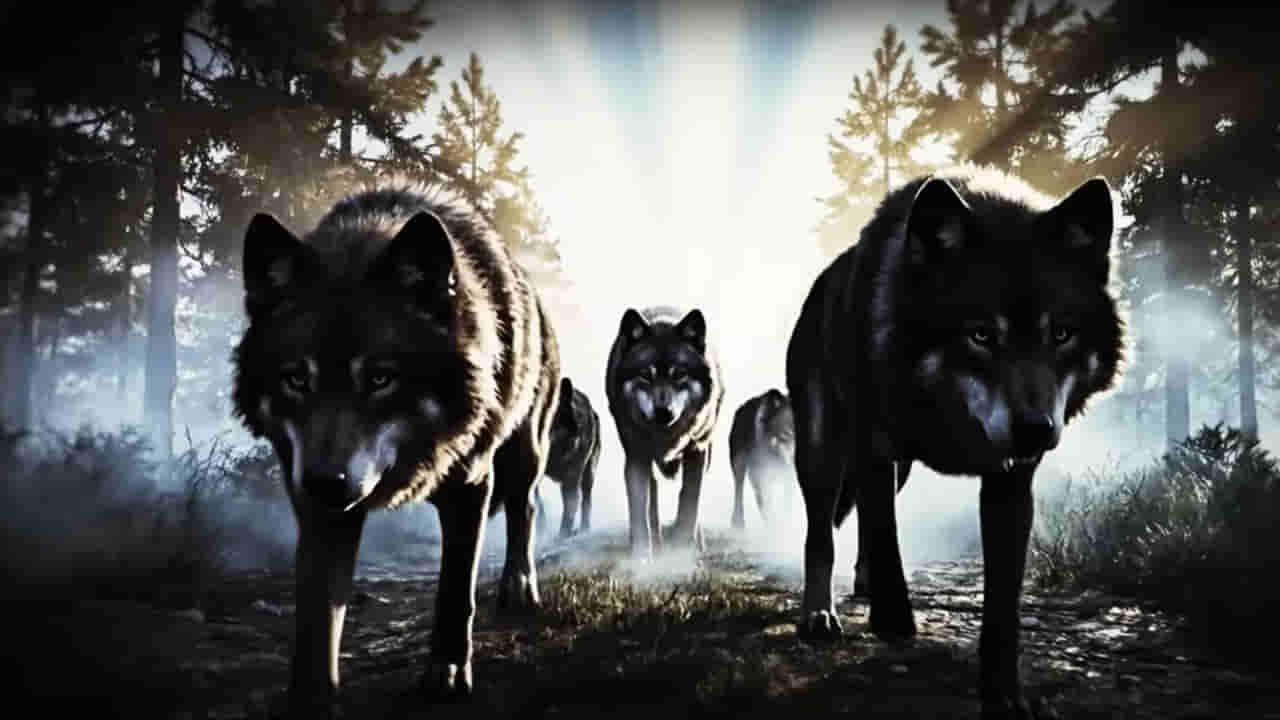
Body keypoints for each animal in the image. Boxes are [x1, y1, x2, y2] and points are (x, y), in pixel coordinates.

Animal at [231, 188, 560, 715]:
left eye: (381, 378)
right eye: (296, 379)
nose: (325, 483)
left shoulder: (470, 482)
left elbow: (455, 590)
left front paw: (447, 672)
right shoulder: (318, 506)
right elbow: (317, 615)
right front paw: (312, 699)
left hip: (524, 448)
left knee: (523, 508)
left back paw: (518, 586)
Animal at [534, 377, 601, 539]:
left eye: (554, 421)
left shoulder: (572, 475)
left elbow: (571, 503)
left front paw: (564, 533)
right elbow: (538, 503)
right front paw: (541, 531)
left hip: (588, 474)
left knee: (586, 499)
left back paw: (584, 529)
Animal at [605, 306, 724, 559]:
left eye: (679, 375)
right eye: (645, 375)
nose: (663, 412)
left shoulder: (697, 450)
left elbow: (690, 502)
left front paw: (682, 552)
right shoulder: (636, 457)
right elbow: (640, 511)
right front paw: (641, 558)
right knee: (653, 502)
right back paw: (657, 544)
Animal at [728, 389, 797, 531]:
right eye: (786, 435)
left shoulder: (789, 478)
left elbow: (787, 505)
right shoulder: (760, 477)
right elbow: (767, 507)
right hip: (739, 464)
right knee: (739, 490)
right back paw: (738, 524)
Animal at [786, 166, 1123, 719]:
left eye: (1061, 334)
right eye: (981, 335)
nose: (1037, 429)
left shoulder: (1010, 483)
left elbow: (1003, 607)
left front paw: (1004, 696)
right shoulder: (872, 449)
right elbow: (884, 537)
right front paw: (894, 622)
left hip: (897, 471)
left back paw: (862, 584)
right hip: (823, 454)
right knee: (822, 532)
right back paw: (819, 614)